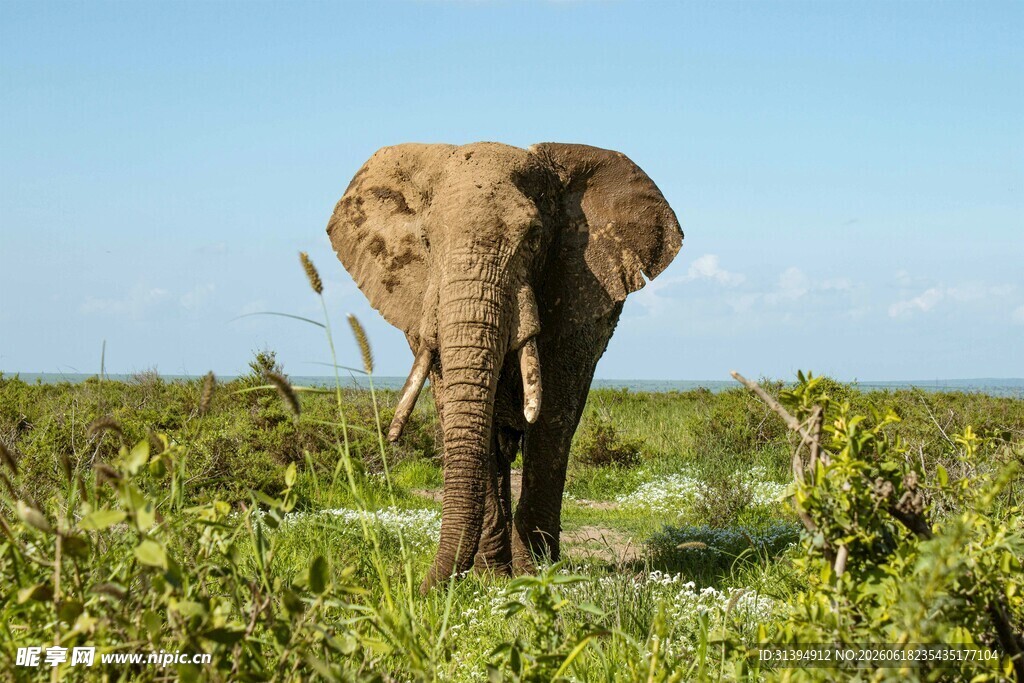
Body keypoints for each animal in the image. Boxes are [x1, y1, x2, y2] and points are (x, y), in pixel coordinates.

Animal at [326, 142, 682, 591]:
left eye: (534, 238)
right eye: (426, 241)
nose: (421, 588)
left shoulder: (576, 298)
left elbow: (550, 423)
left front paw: (536, 576)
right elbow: (461, 413)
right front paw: (490, 579)